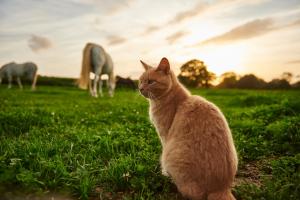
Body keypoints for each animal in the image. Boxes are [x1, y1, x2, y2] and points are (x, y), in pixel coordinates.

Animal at [139, 57, 239, 200]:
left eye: (151, 82)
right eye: (140, 81)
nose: (140, 88)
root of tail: (221, 188)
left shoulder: (164, 135)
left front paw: (164, 172)